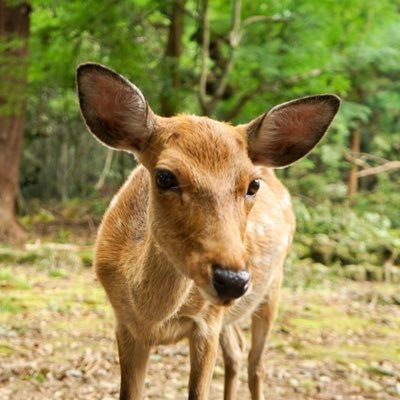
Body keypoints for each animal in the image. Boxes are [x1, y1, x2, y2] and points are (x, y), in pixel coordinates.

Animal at [76, 63, 340, 400]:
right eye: (165, 176)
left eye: (253, 184)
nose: (232, 280)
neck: (154, 317)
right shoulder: (125, 323)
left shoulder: (206, 323)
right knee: (236, 352)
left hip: (272, 288)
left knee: (256, 364)